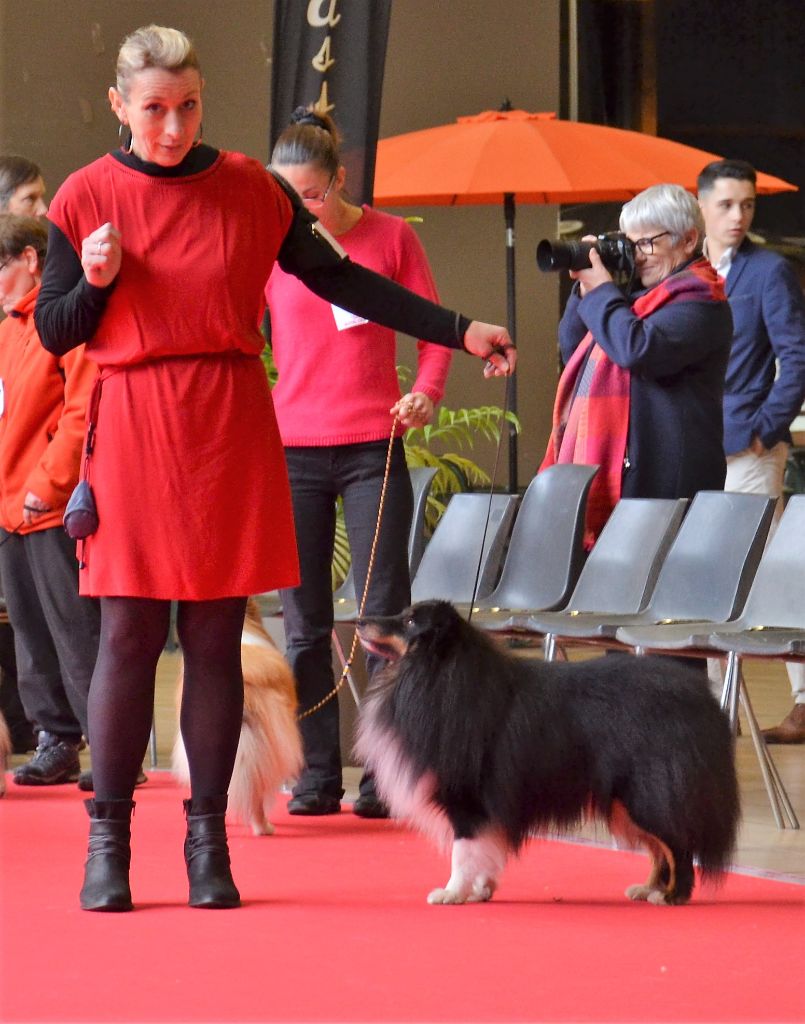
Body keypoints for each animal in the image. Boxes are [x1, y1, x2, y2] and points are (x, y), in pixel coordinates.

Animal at [354, 598, 737, 905]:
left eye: (409, 622)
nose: (359, 620)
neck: (435, 671)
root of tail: (704, 698)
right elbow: (485, 851)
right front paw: (480, 890)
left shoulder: (465, 796)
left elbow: (463, 851)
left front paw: (451, 893)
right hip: (627, 799)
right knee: (660, 848)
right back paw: (647, 889)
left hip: (648, 791)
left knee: (677, 844)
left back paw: (672, 896)